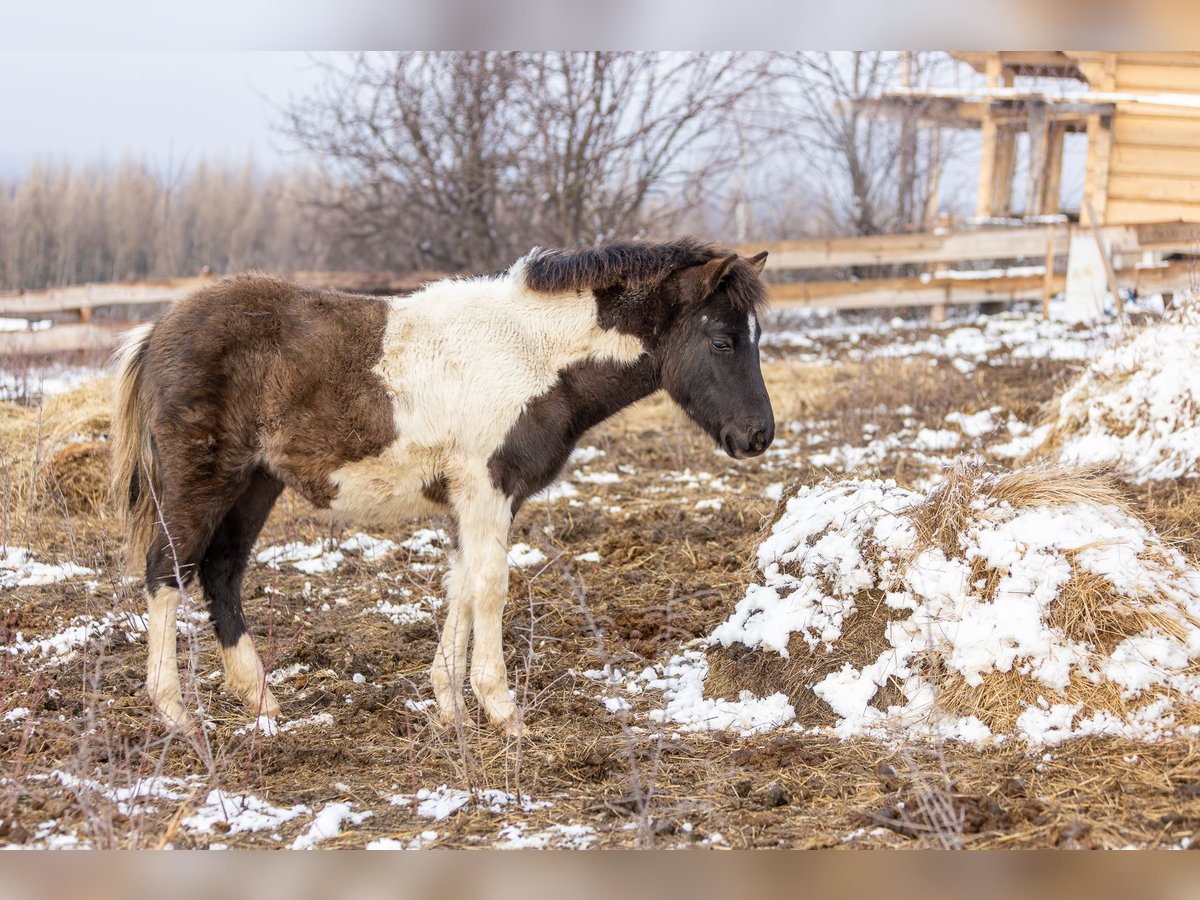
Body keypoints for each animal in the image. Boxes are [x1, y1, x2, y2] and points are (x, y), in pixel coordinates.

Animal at [110, 240, 768, 734]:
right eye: (722, 340)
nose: (759, 435)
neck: (529, 355)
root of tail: (158, 328)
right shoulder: (486, 488)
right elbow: (491, 587)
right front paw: (502, 710)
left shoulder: (476, 500)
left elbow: (462, 586)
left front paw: (451, 707)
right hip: (203, 481)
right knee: (167, 572)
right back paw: (175, 712)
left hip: (254, 484)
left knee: (221, 572)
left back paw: (260, 700)